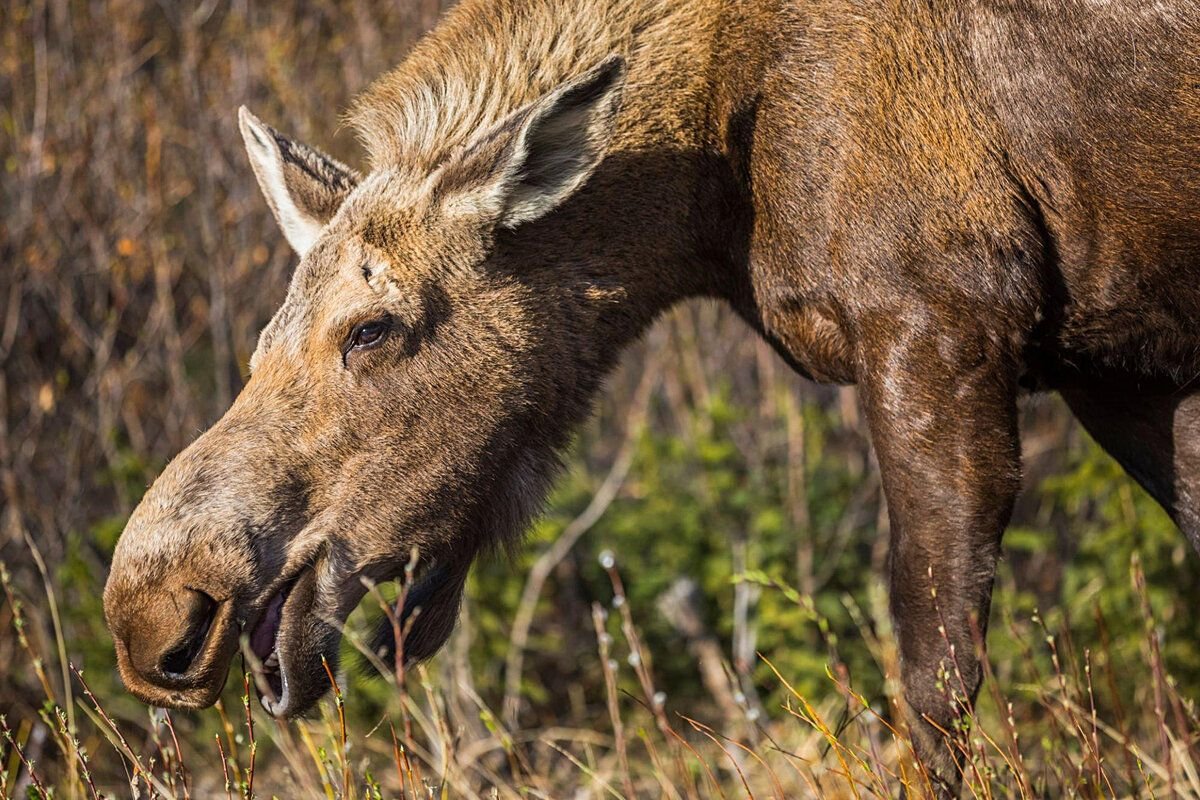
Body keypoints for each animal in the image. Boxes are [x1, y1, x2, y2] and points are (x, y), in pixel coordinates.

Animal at [100, 0, 1200, 796]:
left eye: (372, 328)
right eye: (259, 341)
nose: (155, 607)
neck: (714, 186)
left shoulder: (940, 322)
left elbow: (933, 675)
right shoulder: (1124, 364)